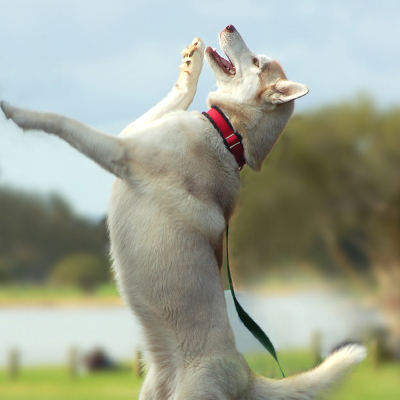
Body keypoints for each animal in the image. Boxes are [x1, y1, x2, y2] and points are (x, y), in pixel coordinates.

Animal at [0, 25, 366, 400]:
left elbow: (60, 121)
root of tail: (246, 375)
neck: (228, 134)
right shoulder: (136, 130)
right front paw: (191, 63)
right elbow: (180, 94)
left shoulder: (122, 151)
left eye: (255, 62)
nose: (230, 26)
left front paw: (17, 112)